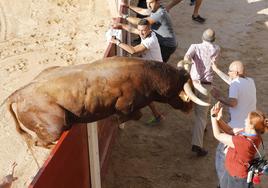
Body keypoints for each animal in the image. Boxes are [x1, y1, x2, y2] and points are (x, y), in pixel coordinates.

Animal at [4, 56, 209, 148]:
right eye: (183, 92)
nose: (190, 107)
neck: (148, 75)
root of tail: (19, 93)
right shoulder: (125, 105)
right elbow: (134, 114)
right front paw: (117, 122)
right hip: (55, 124)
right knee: (40, 140)